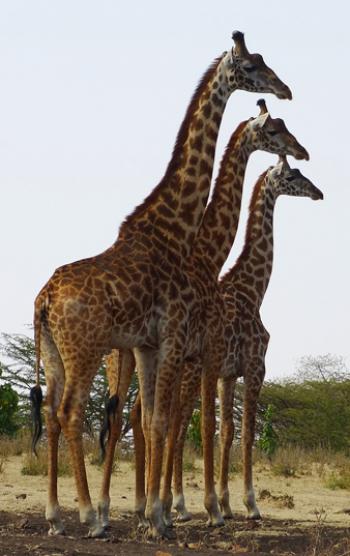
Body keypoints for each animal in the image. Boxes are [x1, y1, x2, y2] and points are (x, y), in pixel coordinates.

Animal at [31, 31, 292, 540]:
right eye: (252, 66)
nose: (285, 89)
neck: (177, 233)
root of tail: (45, 300)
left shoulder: (154, 345)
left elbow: (154, 421)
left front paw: (157, 513)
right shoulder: (180, 342)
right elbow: (168, 423)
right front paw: (162, 516)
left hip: (55, 352)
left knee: (57, 413)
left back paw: (56, 515)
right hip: (87, 349)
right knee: (74, 412)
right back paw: (89, 515)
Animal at [172, 153, 322, 520]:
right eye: (293, 176)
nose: (319, 193)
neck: (254, 293)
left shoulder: (228, 375)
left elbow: (228, 432)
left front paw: (226, 504)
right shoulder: (256, 366)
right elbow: (249, 431)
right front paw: (250, 504)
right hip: (190, 373)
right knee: (177, 427)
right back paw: (178, 505)